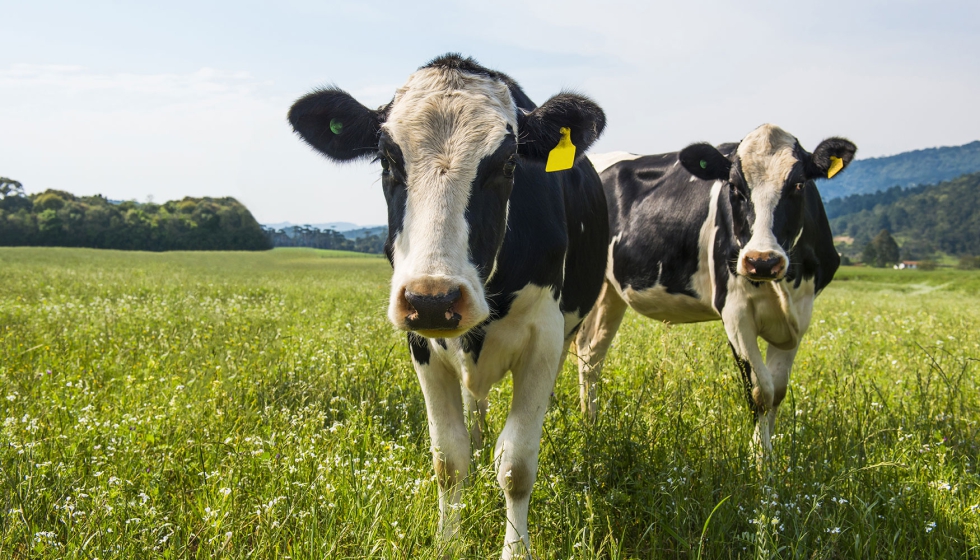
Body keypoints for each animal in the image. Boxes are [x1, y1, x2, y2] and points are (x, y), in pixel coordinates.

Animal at [288, 53, 608, 560]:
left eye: (510, 162)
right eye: (387, 159)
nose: (433, 298)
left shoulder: (544, 336)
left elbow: (517, 464)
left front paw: (515, 548)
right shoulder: (421, 341)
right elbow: (448, 458)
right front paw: (448, 542)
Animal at [580, 123, 852, 456]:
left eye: (799, 185)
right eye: (734, 187)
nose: (762, 261)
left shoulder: (801, 313)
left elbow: (778, 390)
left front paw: (768, 455)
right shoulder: (734, 310)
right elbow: (761, 391)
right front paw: (761, 462)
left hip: (611, 293)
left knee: (591, 355)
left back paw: (590, 427)